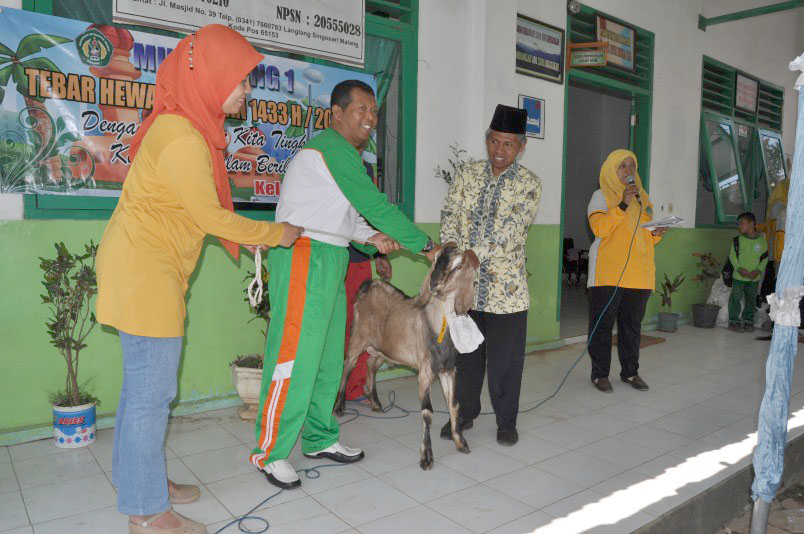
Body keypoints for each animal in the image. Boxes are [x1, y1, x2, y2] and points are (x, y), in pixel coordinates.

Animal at [332, 248, 478, 474]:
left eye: (458, 264)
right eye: (437, 260)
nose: (434, 284)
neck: (437, 325)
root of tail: (369, 286)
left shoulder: (447, 369)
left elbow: (454, 405)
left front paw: (461, 443)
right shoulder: (425, 371)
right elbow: (427, 412)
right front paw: (426, 457)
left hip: (382, 350)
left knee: (370, 365)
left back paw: (375, 402)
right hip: (359, 338)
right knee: (349, 364)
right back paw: (339, 407)